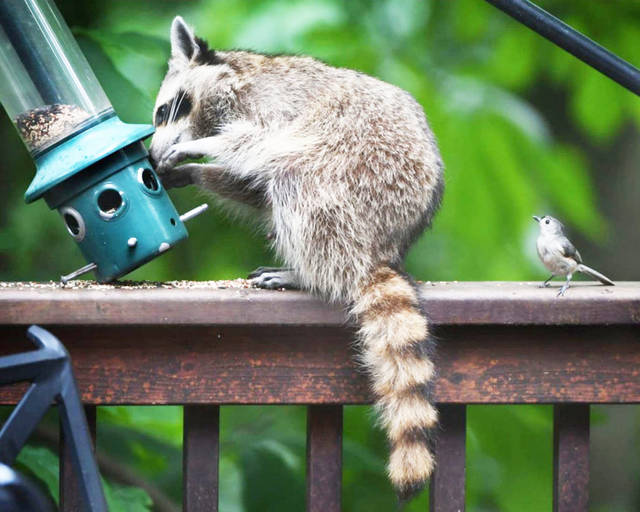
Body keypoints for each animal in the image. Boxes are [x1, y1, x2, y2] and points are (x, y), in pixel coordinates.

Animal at [150, 16, 445, 502]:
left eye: (162, 113)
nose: (151, 155)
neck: (234, 79)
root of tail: (383, 248)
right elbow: (251, 185)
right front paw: (193, 172)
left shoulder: (270, 108)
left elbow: (259, 143)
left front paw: (201, 149)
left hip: (365, 176)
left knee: (296, 174)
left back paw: (309, 274)